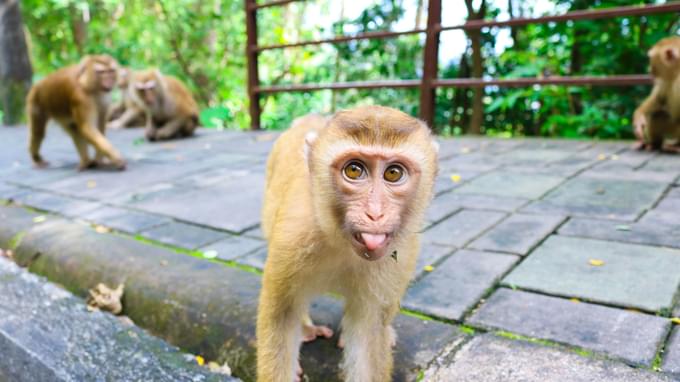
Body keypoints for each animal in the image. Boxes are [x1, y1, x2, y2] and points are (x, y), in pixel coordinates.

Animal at [256, 105, 440, 382]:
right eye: (354, 170)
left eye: (393, 173)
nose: (375, 213)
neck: (341, 242)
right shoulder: (294, 236)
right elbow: (281, 316)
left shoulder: (401, 254)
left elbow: (369, 330)